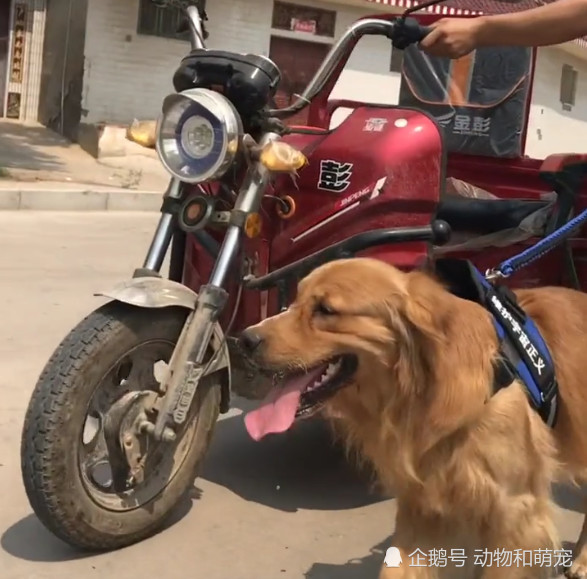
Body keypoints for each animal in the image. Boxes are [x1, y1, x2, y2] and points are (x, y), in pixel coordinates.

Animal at [239, 258, 587, 579]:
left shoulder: (516, 513)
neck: (419, 396)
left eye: (326, 309)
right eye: (293, 301)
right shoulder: (420, 505)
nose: (244, 340)